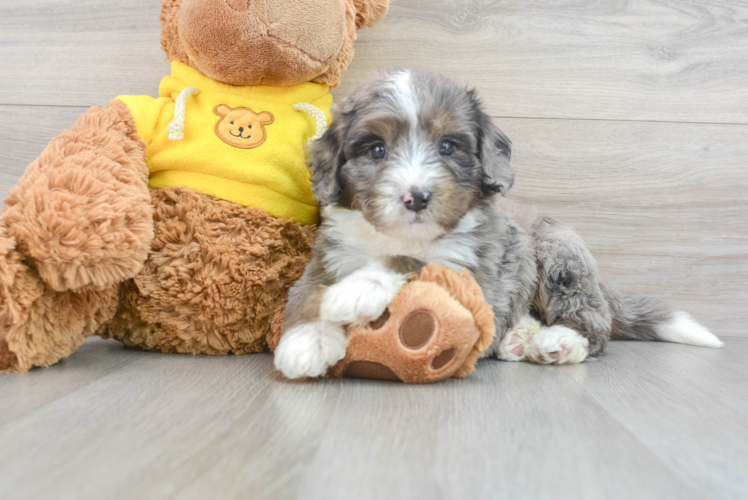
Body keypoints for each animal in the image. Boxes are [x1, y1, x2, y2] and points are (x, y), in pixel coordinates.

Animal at [272, 69, 720, 378]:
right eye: (376, 149)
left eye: (448, 146)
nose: (417, 197)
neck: (402, 236)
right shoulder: (327, 257)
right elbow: (307, 294)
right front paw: (306, 340)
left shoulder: (474, 273)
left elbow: (415, 261)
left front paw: (358, 289)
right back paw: (518, 338)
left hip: (560, 256)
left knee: (594, 324)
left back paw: (558, 341)